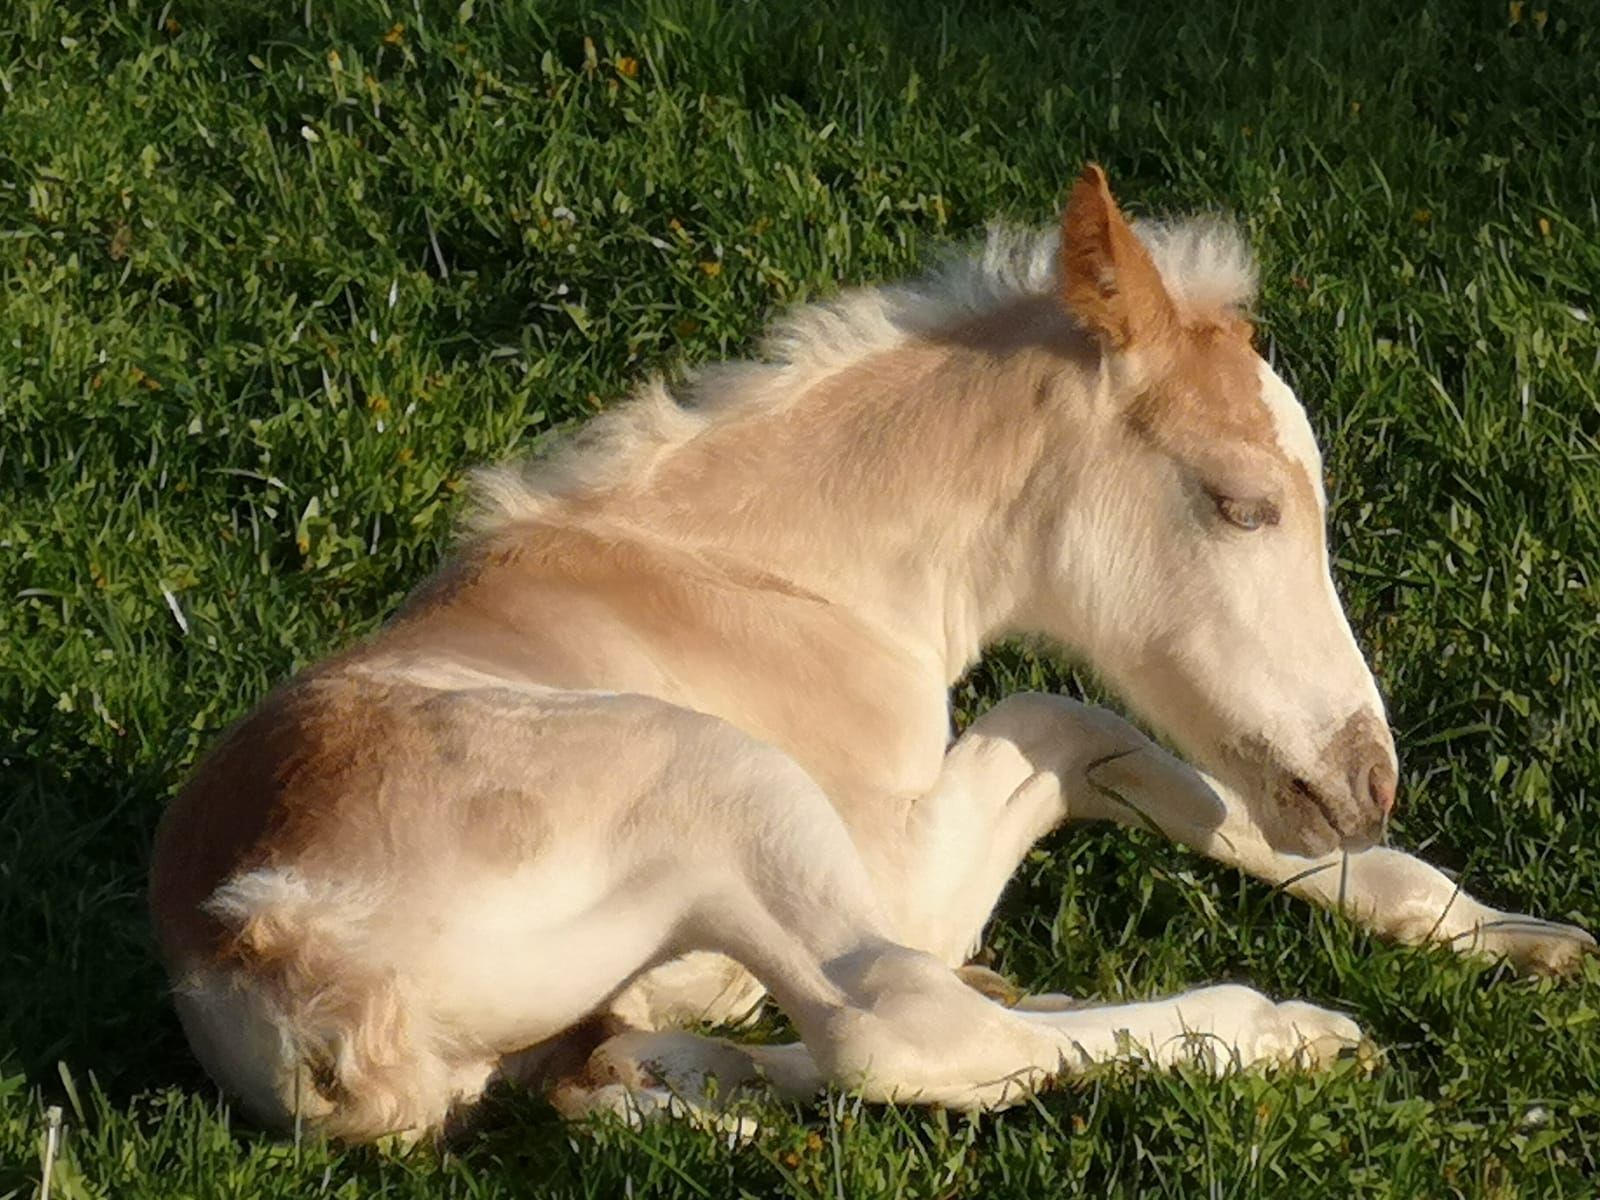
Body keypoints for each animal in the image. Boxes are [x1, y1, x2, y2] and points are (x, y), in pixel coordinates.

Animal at [147, 164, 1587, 1139]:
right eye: (1241, 504)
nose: (1363, 785)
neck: (784, 580)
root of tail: (280, 956)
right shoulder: (891, 859)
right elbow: (1060, 723)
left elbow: (1089, 736)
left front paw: (1501, 930)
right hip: (716, 776)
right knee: (896, 1026)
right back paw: (1276, 1032)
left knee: (633, 1067)